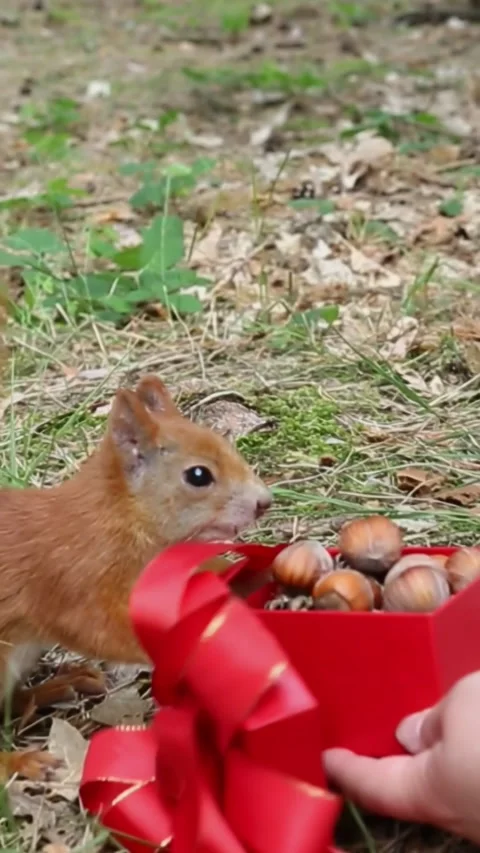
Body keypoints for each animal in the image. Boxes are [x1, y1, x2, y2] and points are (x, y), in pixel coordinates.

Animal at [0, 327, 272, 781]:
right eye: (198, 475)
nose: (263, 503)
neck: (121, 517)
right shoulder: (75, 581)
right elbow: (102, 629)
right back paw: (20, 759)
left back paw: (56, 686)